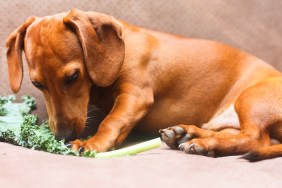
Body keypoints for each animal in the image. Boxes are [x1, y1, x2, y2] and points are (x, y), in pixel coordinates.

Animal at [5, 9, 282, 160]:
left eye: (73, 76)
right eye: (37, 83)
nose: (62, 137)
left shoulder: (135, 96)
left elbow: (111, 122)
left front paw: (91, 143)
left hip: (250, 99)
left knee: (256, 139)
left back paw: (205, 144)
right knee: (237, 134)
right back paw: (186, 134)